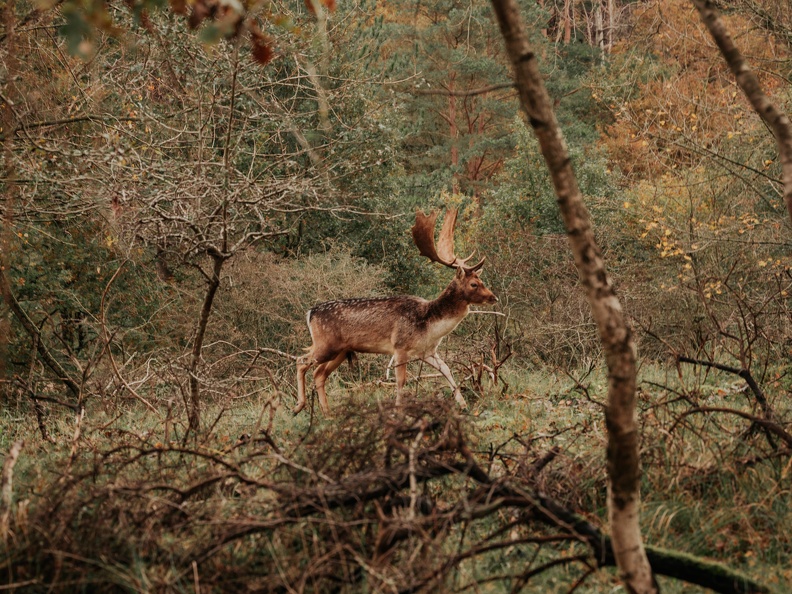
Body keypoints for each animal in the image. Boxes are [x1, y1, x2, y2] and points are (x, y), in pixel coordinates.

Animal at [294, 208, 498, 416]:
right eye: (474, 284)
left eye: (481, 281)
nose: (494, 298)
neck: (429, 324)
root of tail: (310, 313)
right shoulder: (400, 346)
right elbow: (401, 380)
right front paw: (398, 410)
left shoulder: (427, 351)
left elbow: (446, 369)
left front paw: (463, 404)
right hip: (326, 344)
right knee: (301, 361)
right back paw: (299, 406)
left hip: (341, 351)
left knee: (319, 374)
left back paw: (327, 413)